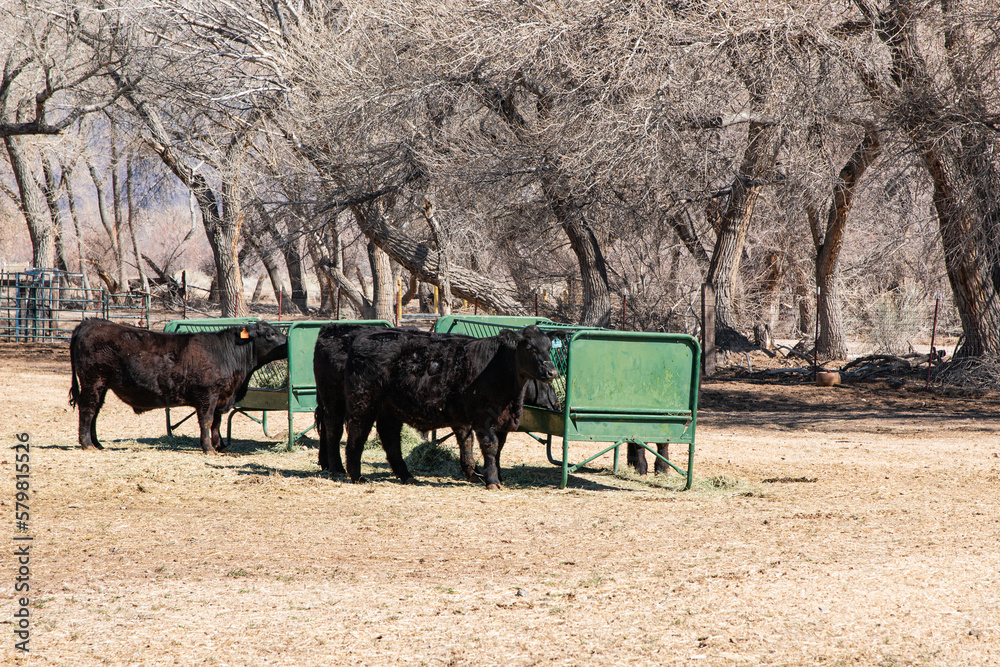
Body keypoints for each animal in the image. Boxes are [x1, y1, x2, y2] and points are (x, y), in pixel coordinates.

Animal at [69, 318, 288, 453]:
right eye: (270, 334)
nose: (287, 343)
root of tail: (90, 322)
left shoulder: (221, 397)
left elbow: (217, 423)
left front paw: (220, 446)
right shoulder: (207, 395)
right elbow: (207, 421)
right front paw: (208, 448)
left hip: (102, 385)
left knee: (95, 411)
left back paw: (97, 443)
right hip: (93, 381)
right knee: (88, 410)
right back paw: (87, 444)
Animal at [341, 325, 557, 489]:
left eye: (548, 347)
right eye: (530, 348)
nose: (552, 372)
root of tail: (363, 336)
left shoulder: (501, 421)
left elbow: (495, 449)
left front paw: (495, 476)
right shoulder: (483, 419)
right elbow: (489, 447)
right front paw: (492, 481)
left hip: (390, 409)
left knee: (390, 439)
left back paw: (407, 476)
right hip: (363, 403)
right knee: (357, 435)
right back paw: (357, 476)